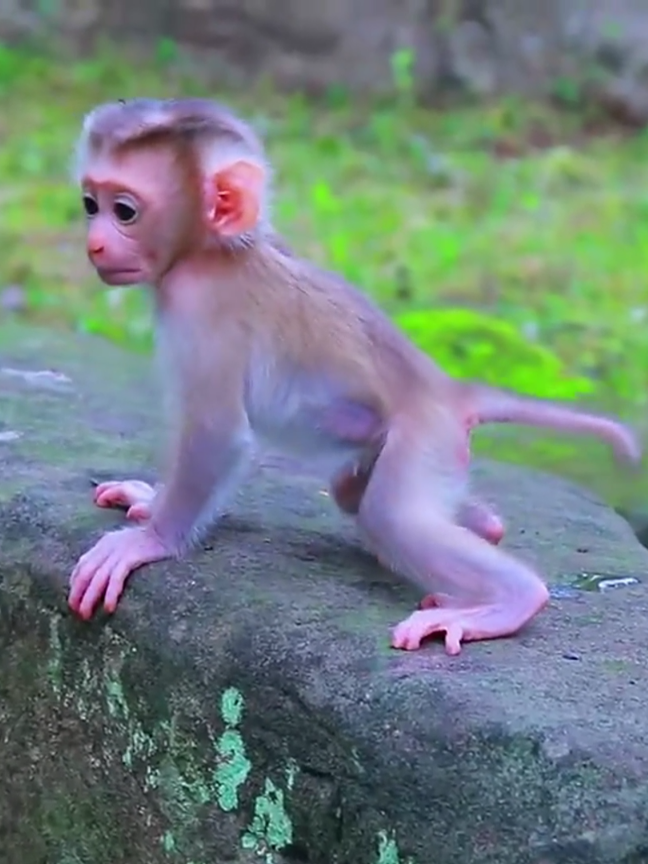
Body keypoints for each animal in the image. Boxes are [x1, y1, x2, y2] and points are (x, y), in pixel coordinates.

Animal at [68, 97, 641, 655]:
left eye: (125, 211)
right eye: (90, 204)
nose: (93, 245)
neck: (210, 250)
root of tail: (447, 389)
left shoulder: (202, 309)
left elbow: (216, 434)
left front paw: (151, 540)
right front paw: (149, 501)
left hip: (423, 435)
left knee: (390, 516)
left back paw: (511, 600)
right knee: (356, 495)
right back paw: (485, 526)